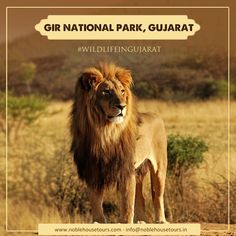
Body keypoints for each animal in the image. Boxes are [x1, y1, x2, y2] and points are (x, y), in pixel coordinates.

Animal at [70, 62, 168, 223]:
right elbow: (96, 202)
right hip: (138, 171)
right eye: (106, 92)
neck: (104, 132)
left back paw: (160, 221)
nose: (122, 106)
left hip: (159, 167)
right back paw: (141, 221)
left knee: (157, 195)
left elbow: (127, 206)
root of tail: (156, 115)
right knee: (141, 198)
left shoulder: (126, 171)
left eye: (122, 91)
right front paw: (98, 222)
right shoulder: (93, 171)